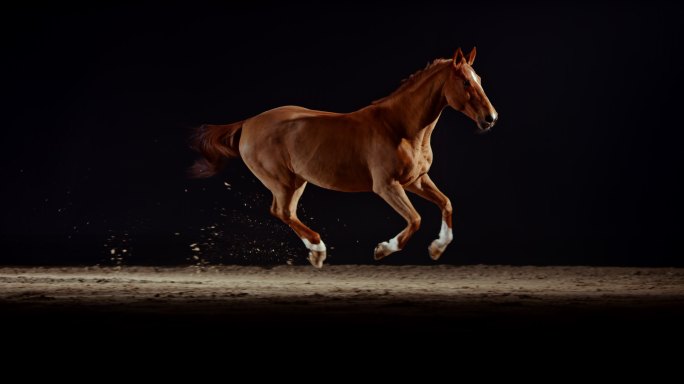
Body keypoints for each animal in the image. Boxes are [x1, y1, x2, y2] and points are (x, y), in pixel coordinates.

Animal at [190, 48, 500, 268]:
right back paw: (318, 250)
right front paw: (382, 249)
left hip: (297, 181)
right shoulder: (387, 186)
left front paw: (437, 248)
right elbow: (415, 219)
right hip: (283, 182)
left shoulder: (416, 180)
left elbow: (446, 204)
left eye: (480, 80)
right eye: (465, 82)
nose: (491, 118)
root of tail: (249, 122)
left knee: (286, 212)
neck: (399, 127)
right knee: (282, 212)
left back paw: (315, 253)